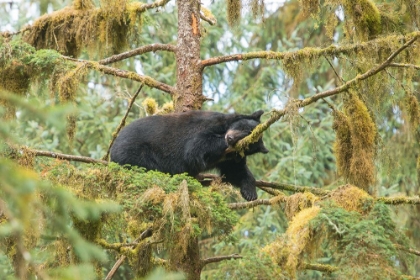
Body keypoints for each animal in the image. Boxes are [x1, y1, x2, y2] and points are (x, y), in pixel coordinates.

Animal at [110, 110, 268, 200]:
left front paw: (250, 192)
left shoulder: (231, 158)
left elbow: (235, 171)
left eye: (248, 146)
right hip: (136, 152)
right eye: (243, 127)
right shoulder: (206, 126)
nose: (230, 138)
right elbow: (195, 149)